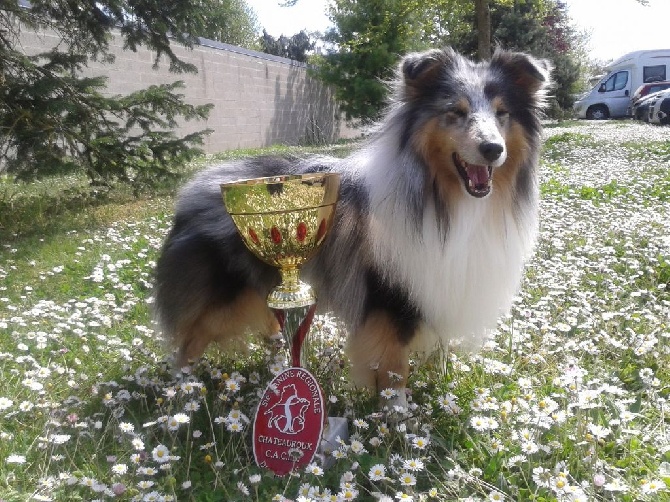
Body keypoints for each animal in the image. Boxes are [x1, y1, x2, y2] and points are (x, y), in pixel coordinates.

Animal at [155, 47, 552, 400]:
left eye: (502, 113)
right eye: (455, 111)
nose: (493, 150)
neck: (446, 199)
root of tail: (192, 189)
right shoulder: (388, 298)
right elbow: (394, 370)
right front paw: (397, 416)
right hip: (224, 299)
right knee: (191, 341)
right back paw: (179, 394)